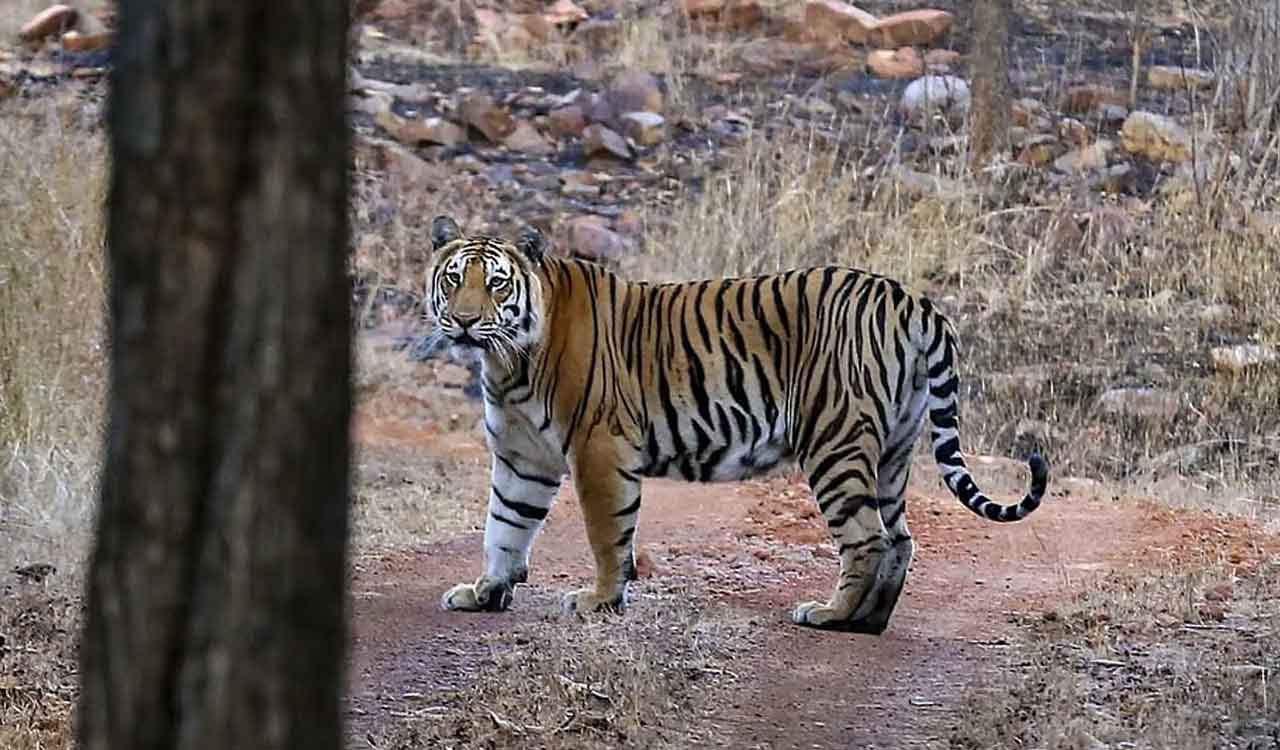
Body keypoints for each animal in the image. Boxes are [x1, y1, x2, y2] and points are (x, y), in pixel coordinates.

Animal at [427, 215, 1049, 634]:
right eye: (454, 279)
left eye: (497, 283)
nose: (464, 321)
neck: (508, 362)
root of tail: (908, 298)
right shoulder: (521, 455)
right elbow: (504, 526)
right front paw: (485, 592)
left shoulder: (600, 447)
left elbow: (606, 535)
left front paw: (599, 600)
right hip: (893, 451)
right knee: (900, 538)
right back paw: (866, 622)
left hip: (835, 441)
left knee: (868, 538)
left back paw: (829, 614)